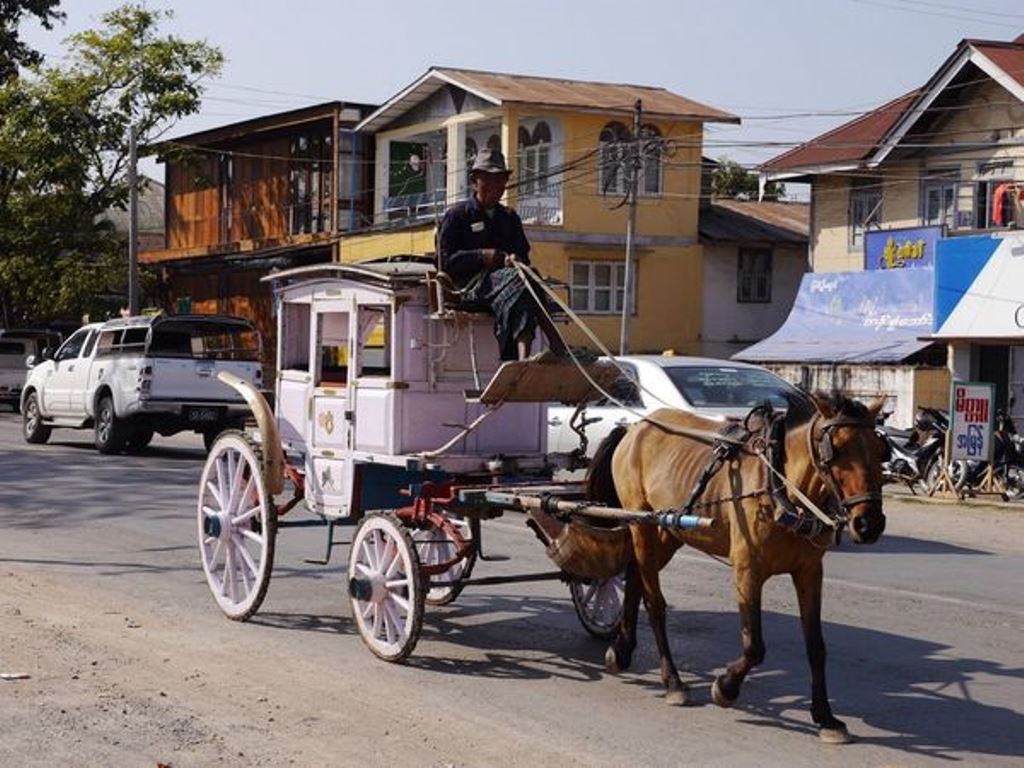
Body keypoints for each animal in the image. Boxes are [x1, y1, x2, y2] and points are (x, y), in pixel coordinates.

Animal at [589, 393, 892, 741]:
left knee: (635, 577)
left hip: (666, 530)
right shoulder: (747, 569)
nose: (869, 524)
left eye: (880, 449)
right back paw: (673, 681)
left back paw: (622, 650)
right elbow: (754, 646)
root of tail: (634, 427)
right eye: (837, 449)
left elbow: (816, 646)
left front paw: (825, 716)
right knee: (654, 602)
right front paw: (726, 686)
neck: (780, 488)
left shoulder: (810, 572)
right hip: (640, 523)